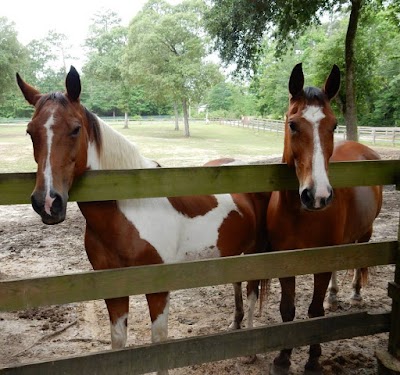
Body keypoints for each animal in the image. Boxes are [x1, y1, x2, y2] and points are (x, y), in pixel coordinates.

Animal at [17, 67, 270, 374]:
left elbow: (158, 344)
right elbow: (118, 344)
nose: (47, 203)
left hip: (255, 253)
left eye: (75, 129)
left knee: (252, 291)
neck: (130, 209)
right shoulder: (113, 287)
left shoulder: (158, 288)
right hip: (233, 254)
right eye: (30, 132)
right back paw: (235, 327)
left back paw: (251, 350)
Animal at [266, 63, 382, 374]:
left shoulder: (321, 262)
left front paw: (314, 359)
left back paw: (354, 293)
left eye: (333, 125)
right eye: (293, 125)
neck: (299, 215)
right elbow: (288, 310)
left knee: (359, 260)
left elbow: (314, 312)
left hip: (365, 232)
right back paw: (335, 294)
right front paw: (283, 357)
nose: (317, 195)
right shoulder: (283, 262)